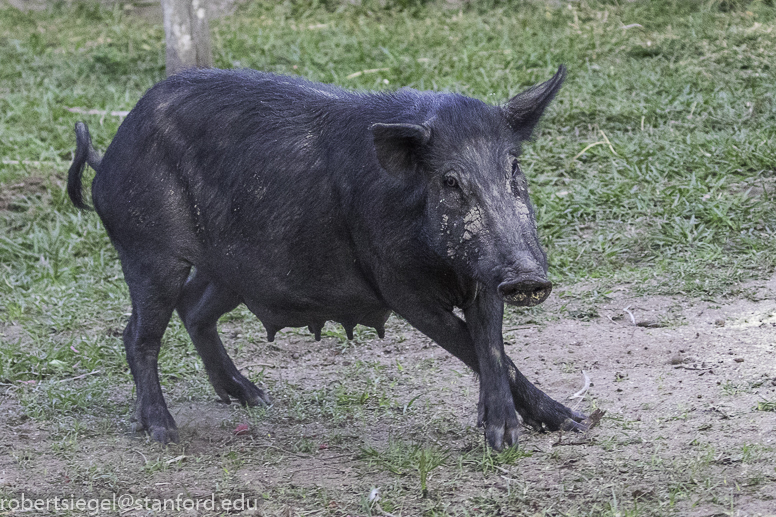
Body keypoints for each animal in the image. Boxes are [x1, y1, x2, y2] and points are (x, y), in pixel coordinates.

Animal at [69, 67, 584, 448]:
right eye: (450, 182)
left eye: (514, 168)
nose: (527, 277)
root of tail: (109, 156)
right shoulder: (397, 286)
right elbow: (469, 345)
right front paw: (508, 438)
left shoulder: (484, 276)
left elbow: (491, 346)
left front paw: (570, 423)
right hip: (149, 251)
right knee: (137, 334)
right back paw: (163, 432)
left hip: (233, 270)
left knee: (193, 308)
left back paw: (255, 398)